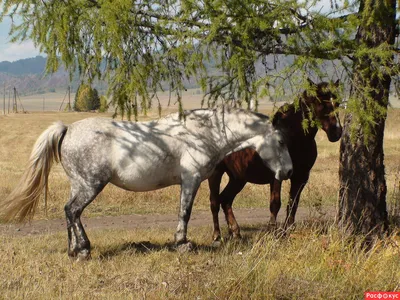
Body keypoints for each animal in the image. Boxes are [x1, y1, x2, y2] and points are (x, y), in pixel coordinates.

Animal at [1, 106, 292, 260]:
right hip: (90, 185)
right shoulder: (191, 179)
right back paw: (83, 250)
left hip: (79, 185)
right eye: (280, 141)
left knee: (69, 212)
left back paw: (73, 250)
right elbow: (184, 212)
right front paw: (182, 243)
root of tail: (68, 129)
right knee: (73, 211)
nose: (288, 172)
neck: (202, 134)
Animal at [208, 78, 342, 243]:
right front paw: (273, 231)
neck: (294, 138)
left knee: (225, 199)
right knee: (214, 202)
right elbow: (275, 203)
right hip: (216, 173)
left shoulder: (301, 177)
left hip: (238, 178)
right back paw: (217, 235)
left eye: (337, 103)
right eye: (321, 104)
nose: (336, 132)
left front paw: (288, 229)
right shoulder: (277, 176)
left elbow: (293, 203)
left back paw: (235, 232)